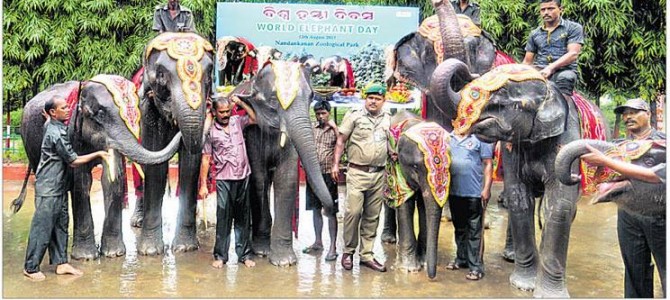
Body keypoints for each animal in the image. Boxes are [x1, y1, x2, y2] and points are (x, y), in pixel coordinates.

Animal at [12, 75, 184, 260]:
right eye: (100, 114)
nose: (178, 129)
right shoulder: (73, 133)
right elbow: (81, 181)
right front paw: (86, 257)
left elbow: (112, 179)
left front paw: (114, 254)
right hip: (29, 144)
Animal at [140, 31, 215, 254]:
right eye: (161, 75)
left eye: (209, 73)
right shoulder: (148, 108)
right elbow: (155, 164)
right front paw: (150, 251)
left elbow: (191, 163)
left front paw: (185, 248)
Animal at [235, 60, 338, 264]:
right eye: (274, 99)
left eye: (311, 96)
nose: (330, 209)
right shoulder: (253, 131)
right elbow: (258, 179)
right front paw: (262, 251)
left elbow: (287, 179)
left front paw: (285, 261)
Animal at [386, 110, 454, 278]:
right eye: (415, 167)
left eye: (450, 167)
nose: (432, 276)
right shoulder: (398, 166)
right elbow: (405, 204)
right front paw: (409, 269)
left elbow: (424, 206)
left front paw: (423, 263)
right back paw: (389, 240)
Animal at [434, 58, 612, 296]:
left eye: (502, 97)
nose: (470, 72)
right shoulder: (512, 149)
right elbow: (519, 198)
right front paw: (523, 285)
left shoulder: (567, 139)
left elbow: (559, 205)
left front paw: (549, 294)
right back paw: (511, 256)